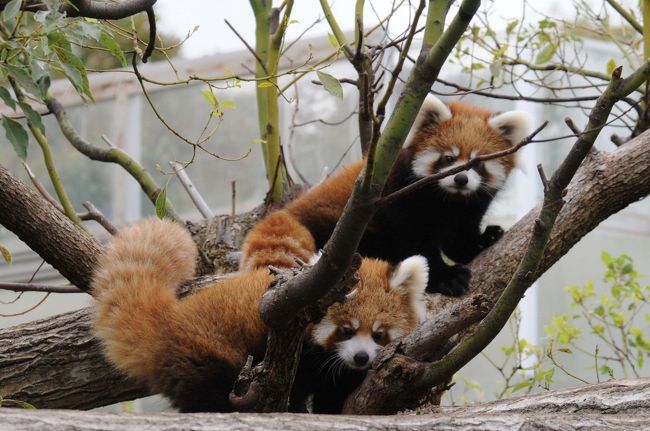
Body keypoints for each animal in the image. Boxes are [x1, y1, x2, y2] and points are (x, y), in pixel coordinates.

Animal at [92, 219, 426, 416]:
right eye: (346, 330)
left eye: (379, 334)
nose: (361, 357)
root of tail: (169, 319)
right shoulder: (303, 355)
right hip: (207, 356)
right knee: (211, 394)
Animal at [240, 94, 528, 296]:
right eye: (449, 158)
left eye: (478, 163)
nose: (461, 179)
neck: (447, 200)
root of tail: (288, 210)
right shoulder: (399, 198)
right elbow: (415, 244)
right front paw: (445, 277)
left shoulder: (468, 208)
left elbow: (459, 239)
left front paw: (483, 240)